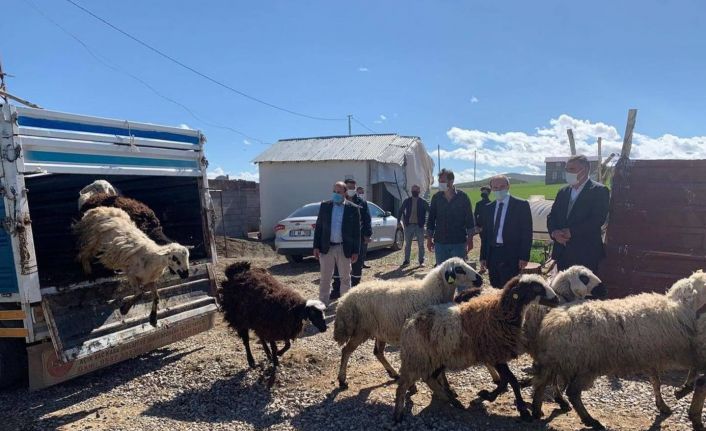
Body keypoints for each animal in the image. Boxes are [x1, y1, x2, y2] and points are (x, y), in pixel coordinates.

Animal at [333, 257, 483, 389]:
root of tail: (344, 299)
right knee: (346, 350)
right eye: (459, 269)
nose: (480, 279)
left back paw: (393, 373)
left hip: (380, 330)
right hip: (361, 330)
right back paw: (342, 380)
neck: (430, 292)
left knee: (378, 352)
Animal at [392, 274, 559, 423]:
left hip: (436, 359)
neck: (500, 314)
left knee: (430, 378)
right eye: (536, 287)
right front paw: (523, 411)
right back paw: (399, 414)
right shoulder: (495, 354)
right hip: (417, 359)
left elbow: (506, 380)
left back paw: (452, 401)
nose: (556, 299)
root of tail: (409, 324)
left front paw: (488, 395)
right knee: (404, 385)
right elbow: (512, 380)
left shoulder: (495, 356)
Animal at [530, 270, 706, 430]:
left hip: (557, 360)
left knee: (541, 383)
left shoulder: (649, 353)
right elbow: (690, 372)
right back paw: (590, 420)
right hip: (585, 363)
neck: (680, 305)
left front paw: (665, 403)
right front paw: (684, 392)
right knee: (571, 392)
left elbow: (656, 380)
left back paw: (537, 410)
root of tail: (552, 323)